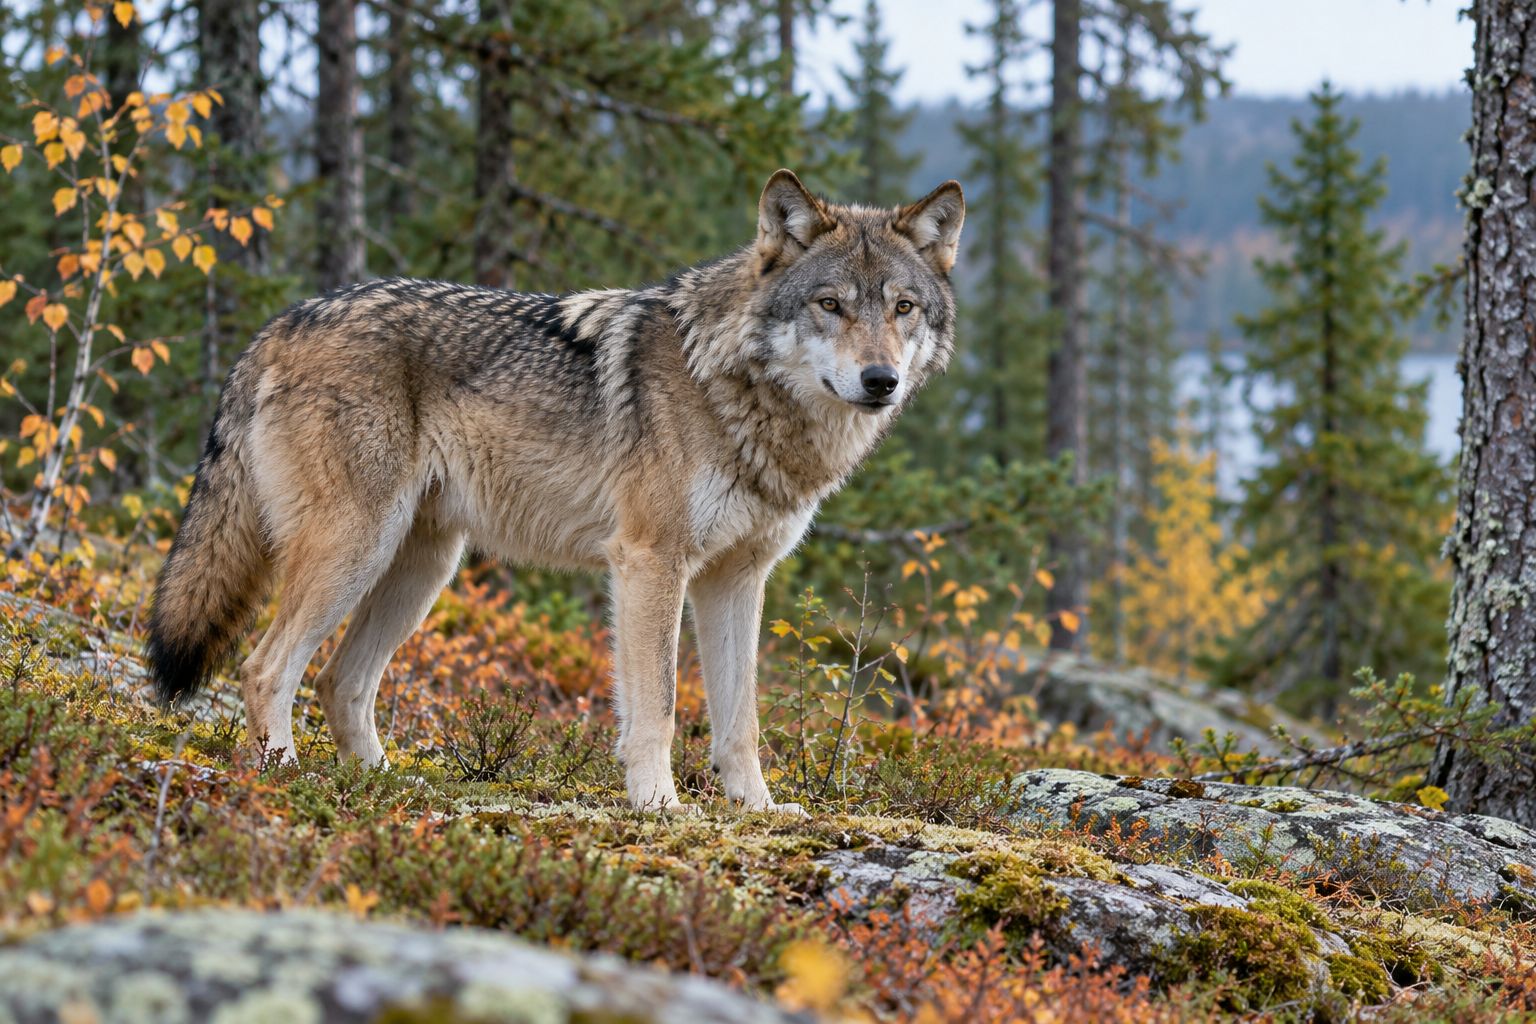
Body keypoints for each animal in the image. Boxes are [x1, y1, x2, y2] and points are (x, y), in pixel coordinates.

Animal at [146, 169, 964, 812]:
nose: (881, 381)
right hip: (356, 550)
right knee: (265, 669)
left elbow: (741, 721)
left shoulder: (736, 578)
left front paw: (758, 810)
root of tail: (282, 322)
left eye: (902, 308)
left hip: (421, 568)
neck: (737, 390)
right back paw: (291, 776)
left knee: (339, 684)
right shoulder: (649, 563)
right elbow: (659, 706)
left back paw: (386, 784)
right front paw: (659, 804)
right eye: (830, 304)